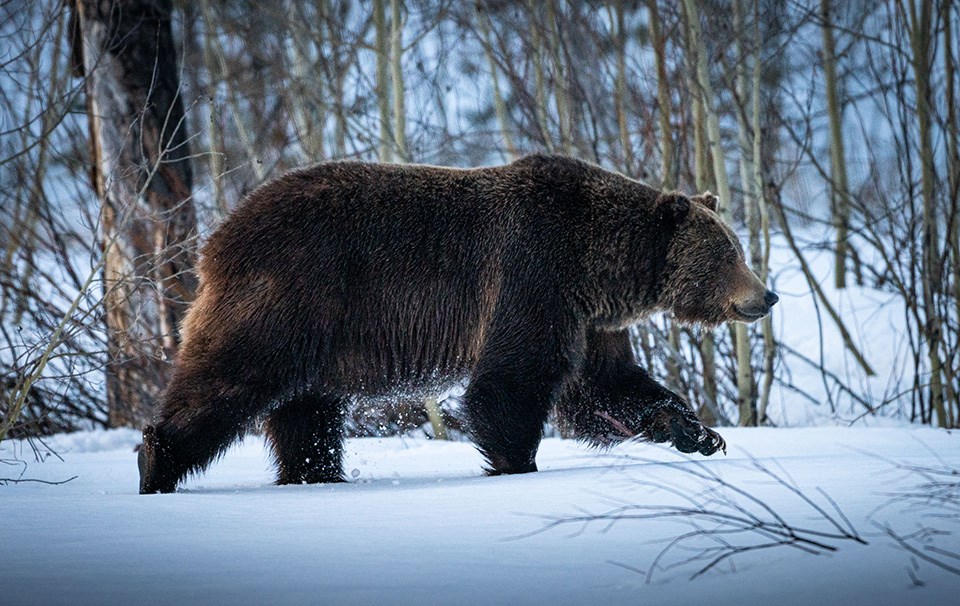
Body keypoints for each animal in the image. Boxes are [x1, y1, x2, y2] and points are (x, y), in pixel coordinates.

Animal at [139, 152, 776, 494]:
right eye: (727, 254)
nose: (766, 295)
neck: (599, 266)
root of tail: (216, 238)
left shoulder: (589, 320)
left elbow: (606, 385)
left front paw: (698, 431)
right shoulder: (533, 276)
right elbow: (511, 381)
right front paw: (517, 465)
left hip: (317, 333)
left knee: (308, 412)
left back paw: (317, 475)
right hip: (290, 296)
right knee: (229, 379)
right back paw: (155, 460)